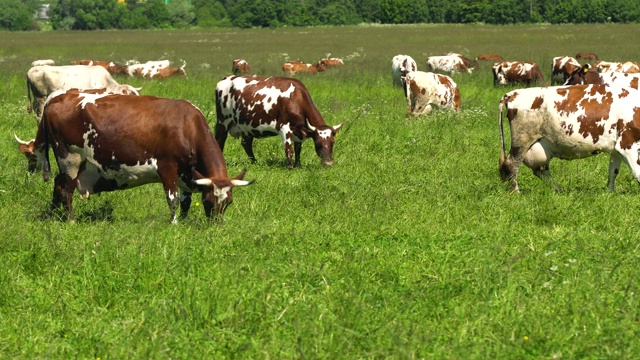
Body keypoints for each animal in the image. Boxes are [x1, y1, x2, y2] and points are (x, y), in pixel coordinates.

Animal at [498, 84, 640, 193]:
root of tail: (513, 93)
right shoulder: (628, 144)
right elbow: (637, 172)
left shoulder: (617, 149)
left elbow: (613, 172)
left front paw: (610, 194)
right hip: (522, 140)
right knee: (511, 165)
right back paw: (516, 193)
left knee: (541, 170)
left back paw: (559, 190)